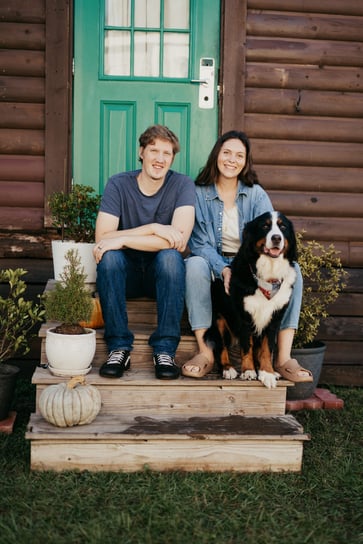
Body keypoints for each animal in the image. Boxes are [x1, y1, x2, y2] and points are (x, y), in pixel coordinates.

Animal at [205, 210, 298, 388]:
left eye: (282, 227)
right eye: (265, 226)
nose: (277, 238)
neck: (269, 275)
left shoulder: (275, 318)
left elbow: (267, 349)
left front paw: (267, 372)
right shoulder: (244, 316)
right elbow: (247, 345)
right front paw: (248, 371)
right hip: (218, 320)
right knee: (221, 347)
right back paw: (228, 368)